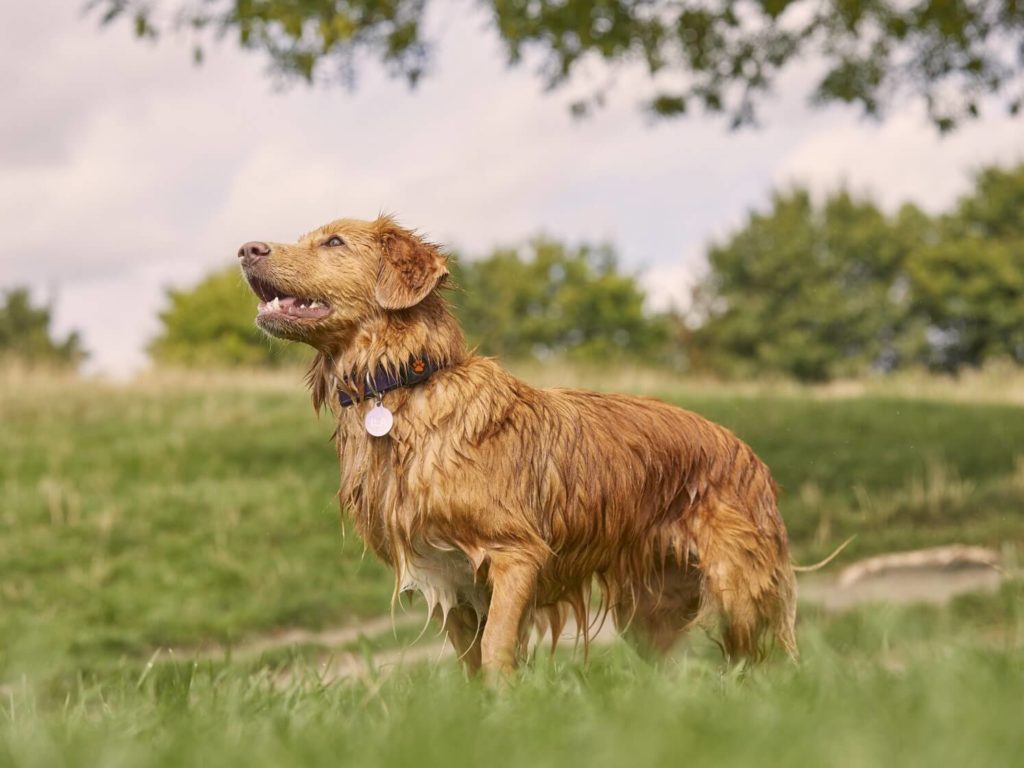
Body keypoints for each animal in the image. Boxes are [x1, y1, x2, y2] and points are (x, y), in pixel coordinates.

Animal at [237, 217, 798, 679]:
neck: (402, 385)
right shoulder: (451, 583)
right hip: (648, 609)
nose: (246, 248)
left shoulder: (515, 555)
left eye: (334, 241)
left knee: (762, 661)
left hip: (736, 590)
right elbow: (471, 666)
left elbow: (496, 651)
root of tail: (746, 450)